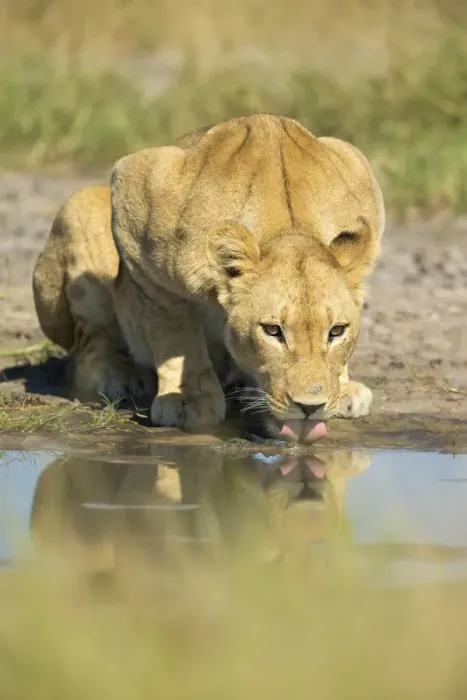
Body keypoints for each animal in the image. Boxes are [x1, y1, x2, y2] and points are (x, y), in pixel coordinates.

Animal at [33, 114, 385, 442]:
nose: (310, 407)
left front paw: (343, 389)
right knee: (87, 347)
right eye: (272, 331)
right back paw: (119, 375)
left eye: (337, 331)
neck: (290, 225)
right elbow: (175, 332)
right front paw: (189, 399)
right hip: (80, 211)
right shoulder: (134, 195)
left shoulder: (355, 163)